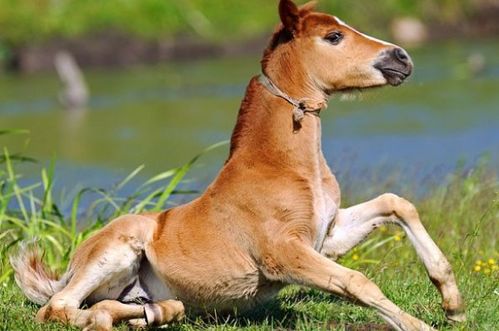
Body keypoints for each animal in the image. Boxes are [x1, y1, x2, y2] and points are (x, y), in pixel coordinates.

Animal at [10, 1, 464, 330]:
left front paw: (453, 303)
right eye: (333, 36)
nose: (401, 58)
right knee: (58, 308)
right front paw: (420, 325)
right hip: (116, 250)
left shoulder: (326, 236)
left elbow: (396, 203)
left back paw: (158, 312)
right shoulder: (284, 253)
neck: (284, 166)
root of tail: (71, 266)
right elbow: (357, 280)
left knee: (118, 305)